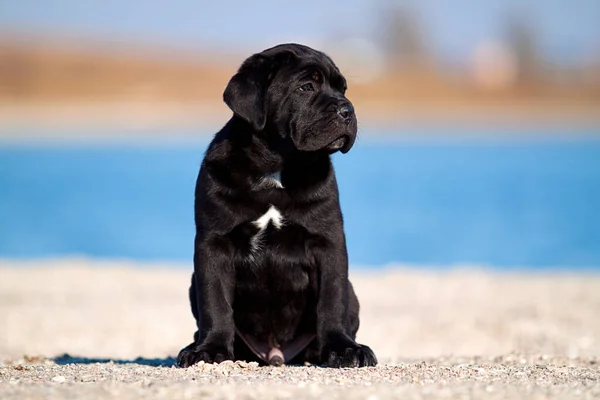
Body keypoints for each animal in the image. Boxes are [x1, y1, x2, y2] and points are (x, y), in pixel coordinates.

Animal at [176, 43, 378, 368]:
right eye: (306, 87)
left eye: (343, 89)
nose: (347, 110)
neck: (276, 168)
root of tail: (275, 353)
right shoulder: (214, 242)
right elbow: (215, 300)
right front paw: (209, 349)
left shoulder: (328, 240)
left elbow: (332, 299)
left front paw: (343, 348)